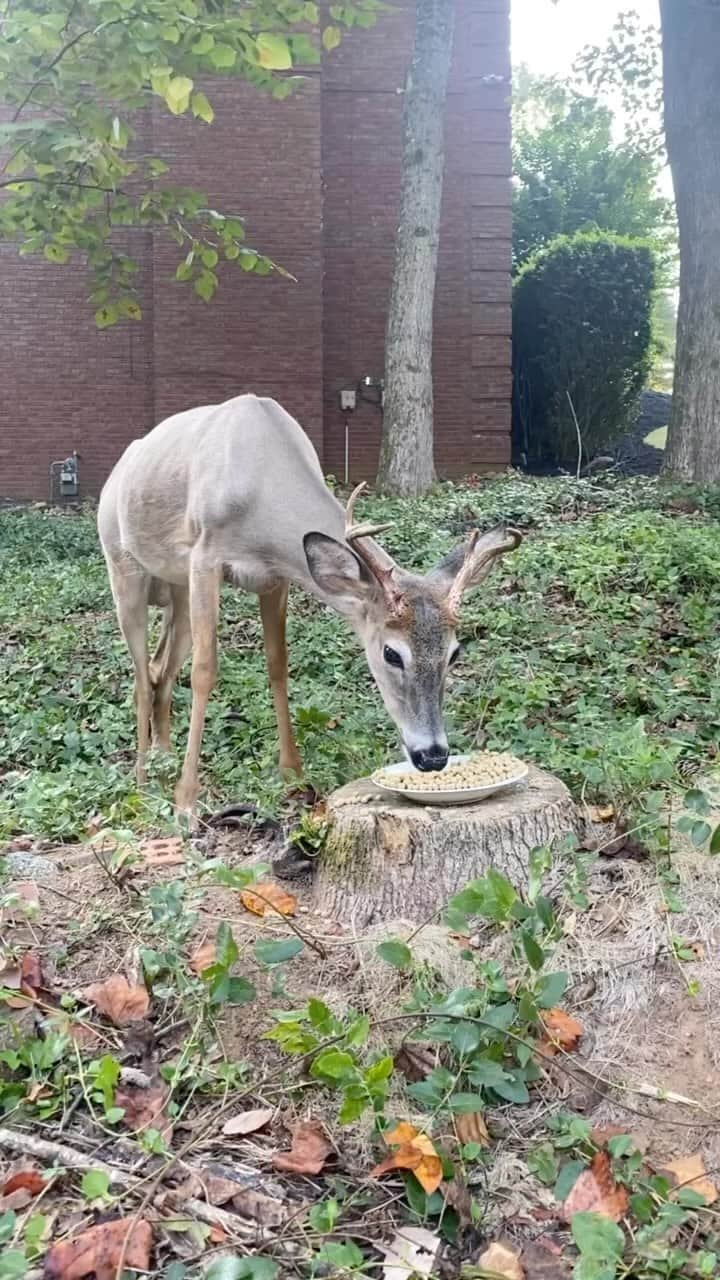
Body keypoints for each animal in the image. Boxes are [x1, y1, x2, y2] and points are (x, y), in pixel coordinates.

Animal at [96, 394, 520, 819]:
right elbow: (204, 671)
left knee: (159, 668)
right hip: (123, 567)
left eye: (455, 653)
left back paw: (163, 758)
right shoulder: (205, 557)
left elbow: (278, 665)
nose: (432, 756)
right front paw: (186, 801)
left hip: (177, 590)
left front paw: (292, 773)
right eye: (391, 653)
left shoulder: (275, 577)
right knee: (140, 676)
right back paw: (142, 782)